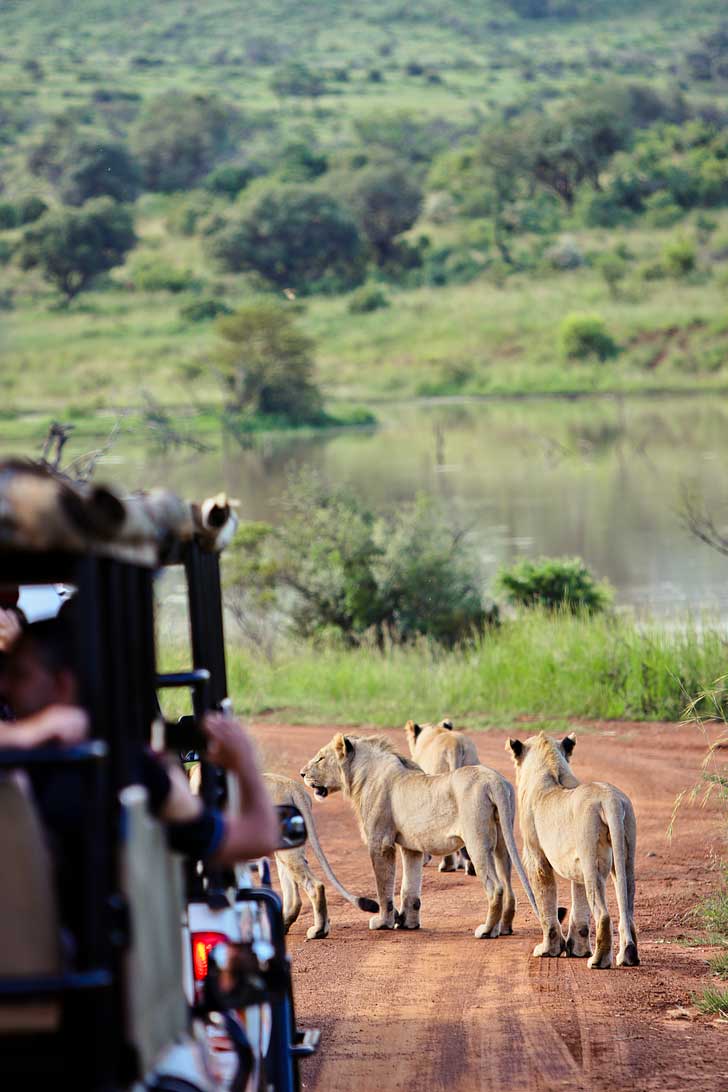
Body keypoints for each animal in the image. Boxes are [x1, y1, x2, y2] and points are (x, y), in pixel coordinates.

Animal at [506, 729, 637, 969]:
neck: (549, 768)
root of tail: (610, 799)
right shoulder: (576, 865)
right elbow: (580, 908)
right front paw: (577, 950)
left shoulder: (536, 857)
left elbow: (546, 901)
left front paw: (548, 950)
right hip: (623, 856)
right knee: (627, 908)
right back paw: (628, 956)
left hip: (591, 858)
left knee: (603, 914)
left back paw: (598, 961)